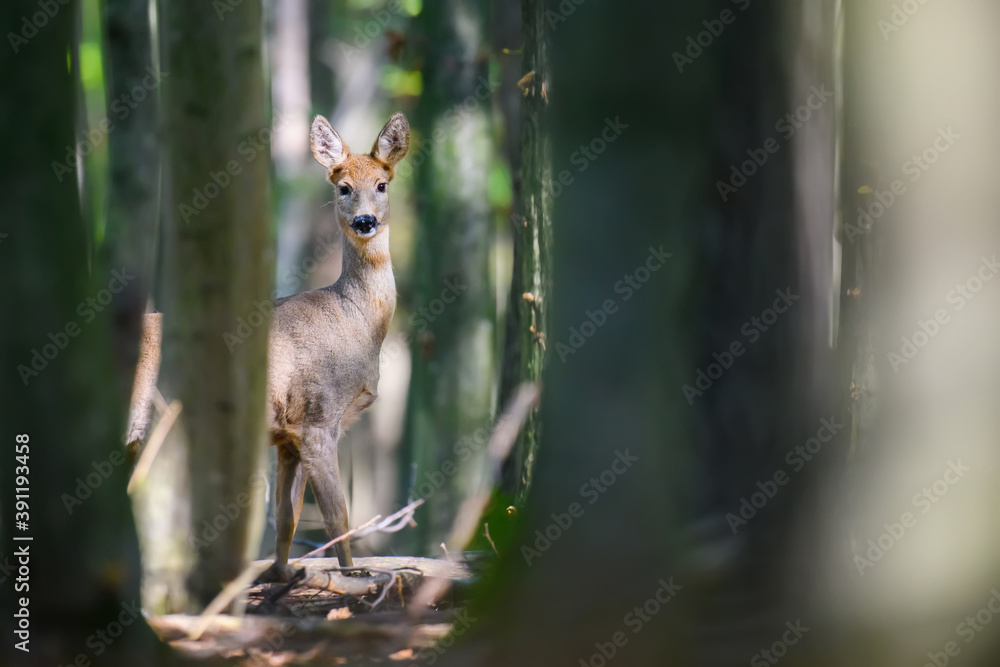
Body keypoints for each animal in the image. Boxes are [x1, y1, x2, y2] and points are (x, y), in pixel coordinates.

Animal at [129, 113, 410, 580]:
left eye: (382, 184)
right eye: (343, 187)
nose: (365, 221)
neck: (356, 322)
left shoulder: (287, 434)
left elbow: (286, 517)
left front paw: (282, 574)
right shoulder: (317, 416)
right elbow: (338, 515)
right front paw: (353, 574)